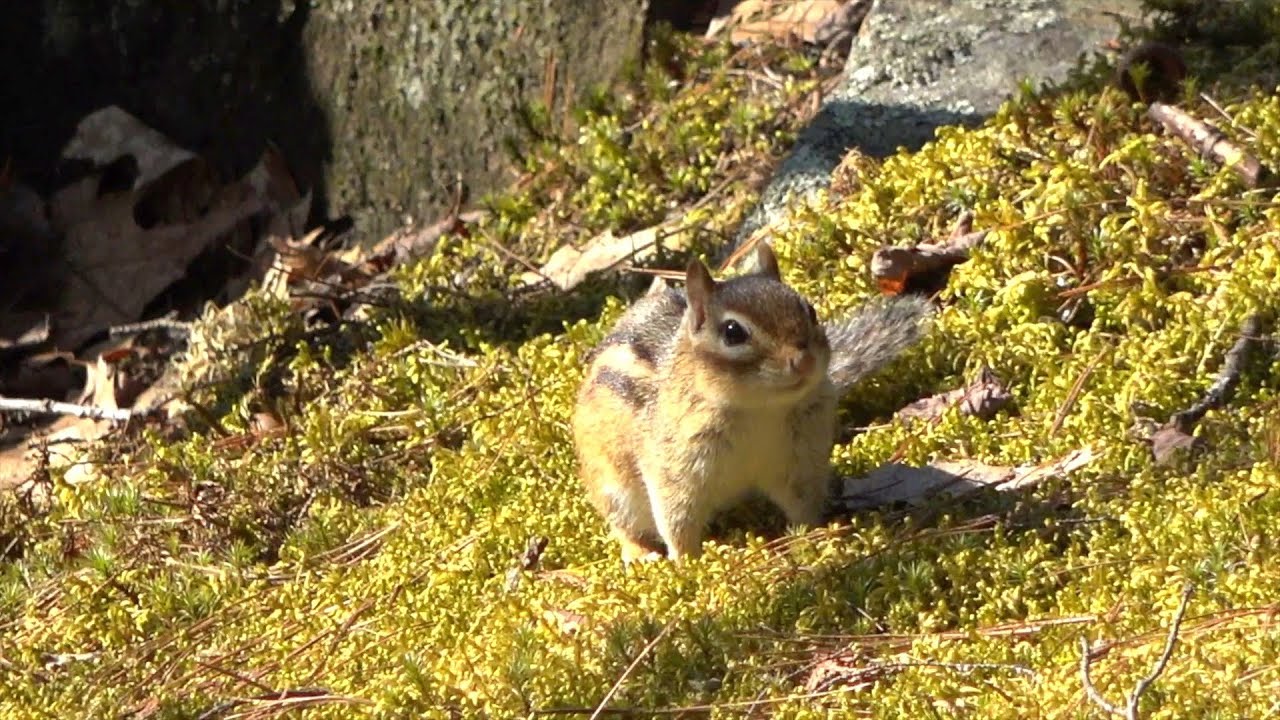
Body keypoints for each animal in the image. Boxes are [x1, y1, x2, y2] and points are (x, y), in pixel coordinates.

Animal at [572, 243, 931, 561]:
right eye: (733, 332)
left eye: (810, 310)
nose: (803, 361)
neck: (760, 408)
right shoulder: (673, 467)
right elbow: (676, 518)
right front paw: (686, 563)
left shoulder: (798, 459)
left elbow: (803, 503)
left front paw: (813, 536)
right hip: (613, 487)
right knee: (623, 525)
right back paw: (639, 553)